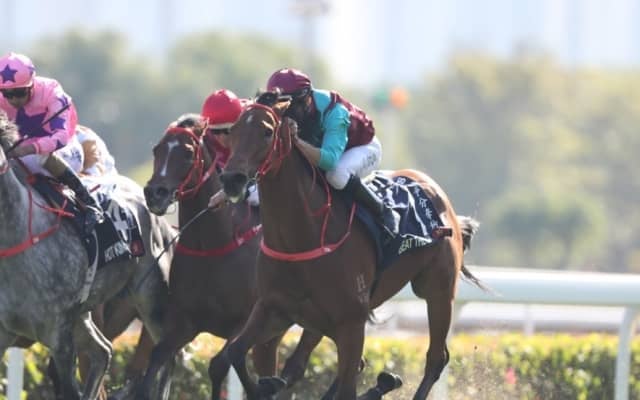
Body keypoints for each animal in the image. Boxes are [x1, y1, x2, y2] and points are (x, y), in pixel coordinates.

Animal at [0, 113, 173, 400]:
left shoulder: (59, 333)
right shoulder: (7, 329)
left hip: (151, 300)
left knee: (167, 353)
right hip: (83, 314)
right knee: (102, 351)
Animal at [217, 92, 484, 400]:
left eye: (266, 131)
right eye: (233, 131)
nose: (231, 178)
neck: (303, 237)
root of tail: (436, 191)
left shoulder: (350, 323)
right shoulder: (274, 308)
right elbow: (235, 352)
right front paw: (268, 384)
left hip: (436, 290)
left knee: (435, 358)